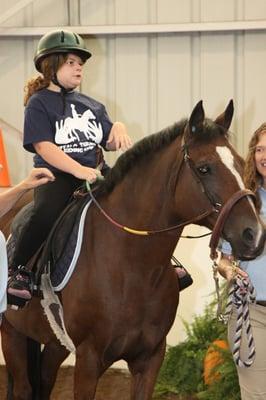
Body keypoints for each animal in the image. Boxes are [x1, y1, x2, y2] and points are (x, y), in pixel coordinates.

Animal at [1, 101, 264, 400]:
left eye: (241, 164)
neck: (132, 267)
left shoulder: (150, 358)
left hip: (54, 343)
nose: (254, 235)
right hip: (11, 333)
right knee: (24, 388)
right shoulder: (88, 359)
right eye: (204, 168)